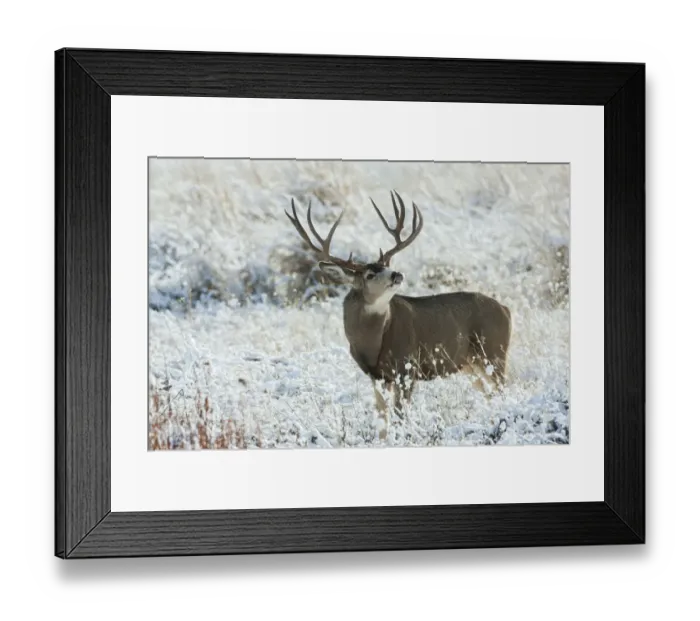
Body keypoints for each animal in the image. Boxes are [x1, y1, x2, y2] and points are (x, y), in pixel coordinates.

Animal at [285, 191, 512, 441]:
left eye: (387, 265)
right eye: (370, 274)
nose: (397, 274)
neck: (373, 344)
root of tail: (505, 309)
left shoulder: (407, 367)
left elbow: (399, 415)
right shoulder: (377, 376)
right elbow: (381, 419)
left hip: (493, 351)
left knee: (503, 390)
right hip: (470, 364)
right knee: (490, 394)